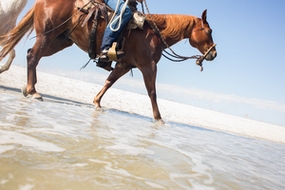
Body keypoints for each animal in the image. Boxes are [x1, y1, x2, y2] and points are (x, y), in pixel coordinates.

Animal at [0, 0, 215, 121]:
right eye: (209, 31)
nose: (214, 53)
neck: (155, 33)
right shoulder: (148, 66)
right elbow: (152, 92)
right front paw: (159, 118)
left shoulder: (124, 64)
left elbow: (109, 82)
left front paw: (96, 102)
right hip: (47, 35)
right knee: (32, 56)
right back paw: (32, 90)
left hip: (59, 41)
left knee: (31, 55)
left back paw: (29, 86)